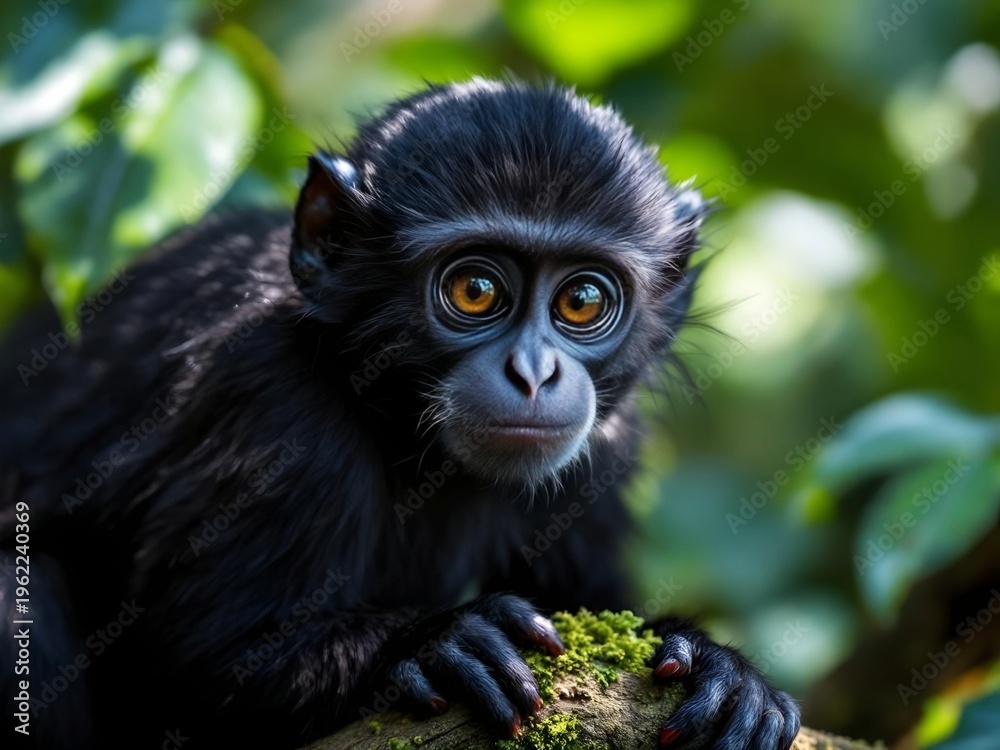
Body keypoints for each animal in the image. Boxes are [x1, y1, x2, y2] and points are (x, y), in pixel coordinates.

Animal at [0, 78, 800, 749]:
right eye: (476, 289)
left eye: (581, 300)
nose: (534, 372)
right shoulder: (266, 389)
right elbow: (205, 654)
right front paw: (436, 643)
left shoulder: (607, 443)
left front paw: (718, 667)